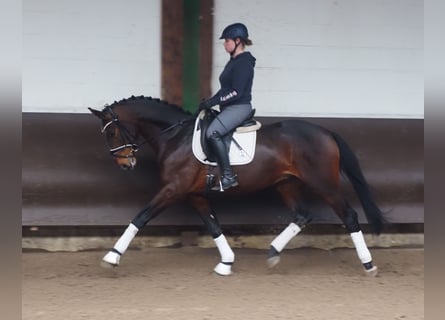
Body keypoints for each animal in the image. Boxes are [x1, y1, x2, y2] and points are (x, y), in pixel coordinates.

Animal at [88, 94, 384, 276]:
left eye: (112, 131)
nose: (125, 164)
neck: (175, 136)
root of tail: (326, 132)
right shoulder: (194, 194)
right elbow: (213, 225)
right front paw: (226, 263)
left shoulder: (174, 189)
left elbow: (141, 216)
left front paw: (112, 257)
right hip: (286, 183)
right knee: (302, 215)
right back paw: (273, 252)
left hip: (323, 183)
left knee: (348, 215)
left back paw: (368, 264)